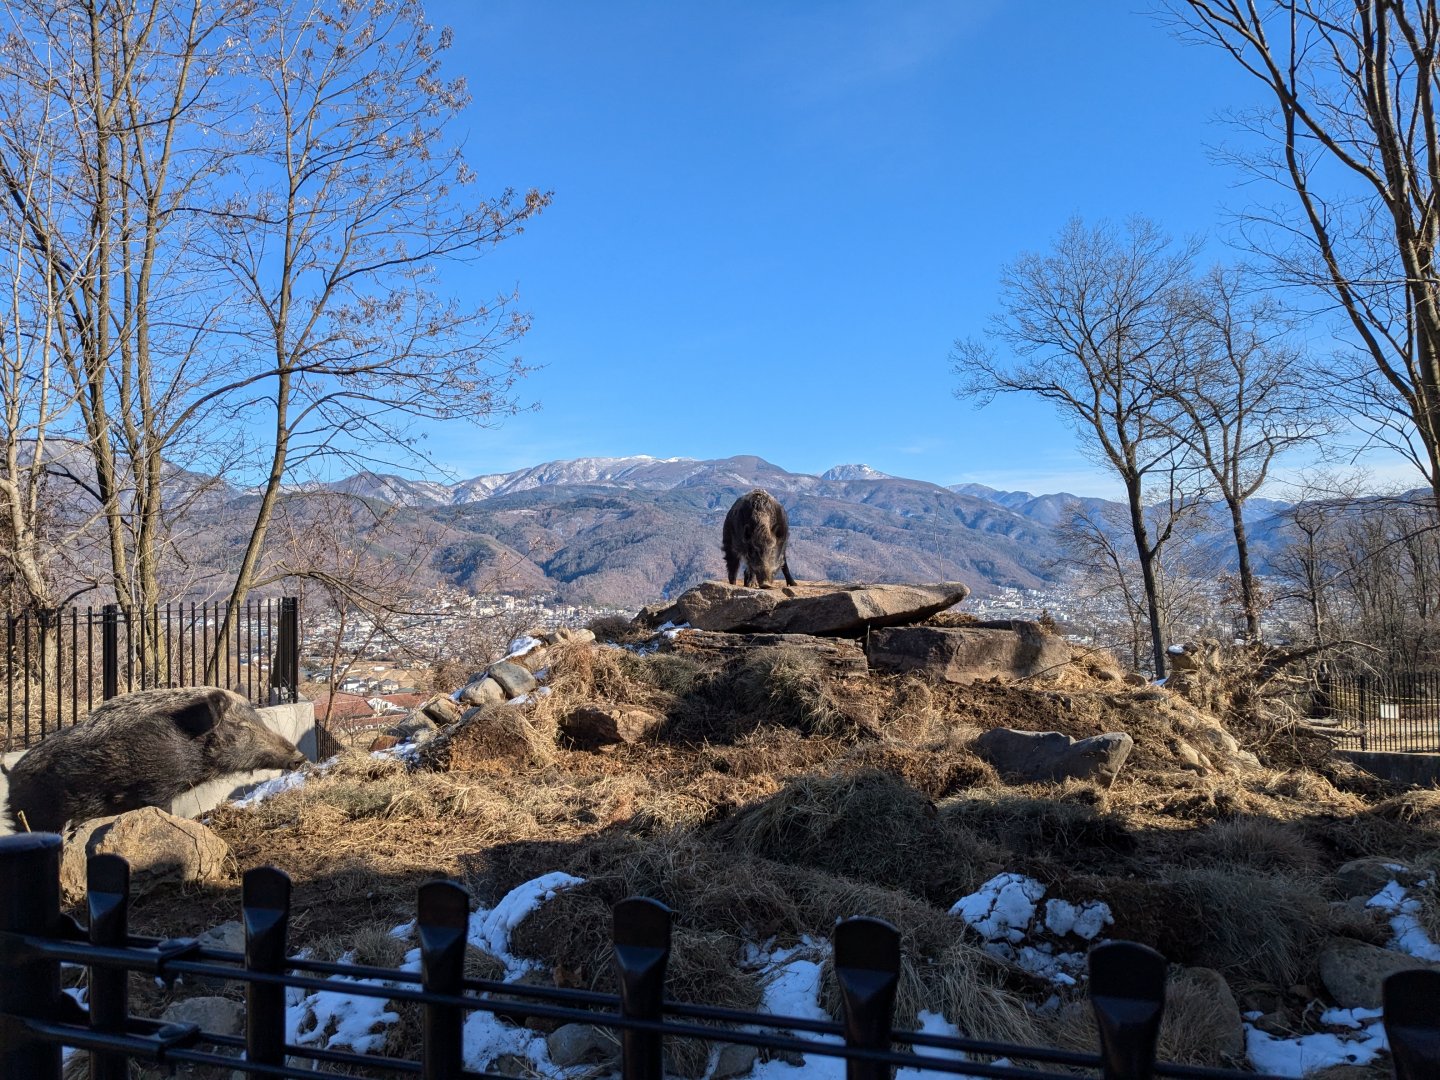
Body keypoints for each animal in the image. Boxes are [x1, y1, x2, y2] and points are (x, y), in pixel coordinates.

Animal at [3, 686, 306, 834]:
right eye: (243, 727)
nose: (300, 757)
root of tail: (11, 775)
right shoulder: (155, 786)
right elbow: (163, 811)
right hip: (35, 813)